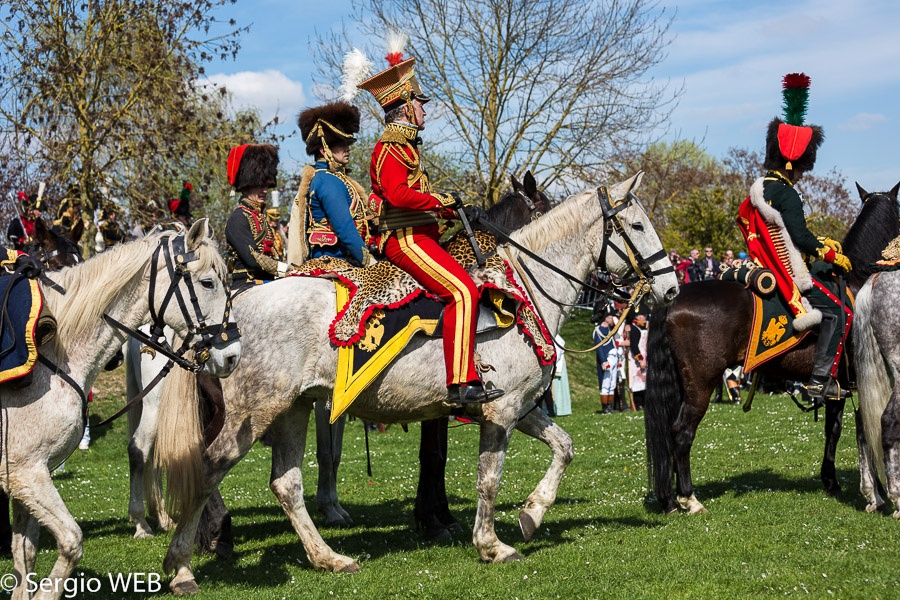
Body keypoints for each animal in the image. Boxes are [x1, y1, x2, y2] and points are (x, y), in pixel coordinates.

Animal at [0, 221, 243, 600]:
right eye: (207, 283)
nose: (232, 355)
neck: (51, 355)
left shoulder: (26, 475)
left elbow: (24, 552)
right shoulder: (26, 473)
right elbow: (71, 541)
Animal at [153, 171, 676, 592]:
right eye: (635, 226)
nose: (670, 287)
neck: (522, 291)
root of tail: (229, 314)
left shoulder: (520, 407)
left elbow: (564, 448)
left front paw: (531, 514)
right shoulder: (500, 413)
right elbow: (488, 479)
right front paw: (491, 544)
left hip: (293, 410)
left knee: (286, 484)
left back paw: (329, 558)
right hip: (251, 413)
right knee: (208, 470)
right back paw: (183, 566)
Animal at [644, 184, 896, 516]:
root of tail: (673, 298)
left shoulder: (840, 386)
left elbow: (834, 429)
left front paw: (830, 481)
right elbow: (862, 428)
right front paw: (871, 491)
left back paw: (670, 500)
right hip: (700, 384)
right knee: (681, 433)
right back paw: (690, 498)